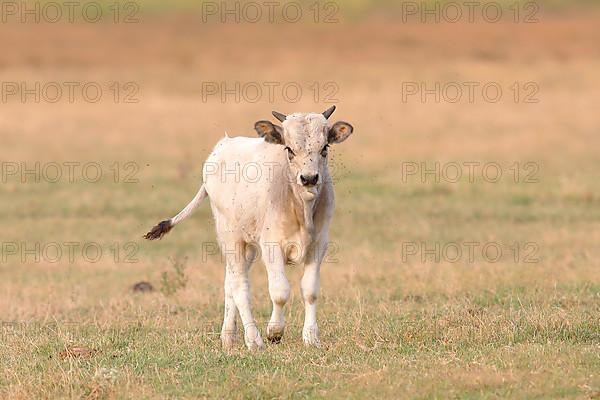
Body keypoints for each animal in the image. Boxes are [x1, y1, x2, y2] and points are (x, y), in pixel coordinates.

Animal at [144, 107, 354, 350]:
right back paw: (254, 340)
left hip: (247, 245)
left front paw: (311, 338)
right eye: (289, 149)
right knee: (239, 287)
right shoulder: (271, 245)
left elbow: (310, 291)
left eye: (325, 148)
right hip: (229, 237)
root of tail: (223, 145)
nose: (309, 178)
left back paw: (228, 336)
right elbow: (280, 291)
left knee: (230, 283)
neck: (301, 206)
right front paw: (274, 331)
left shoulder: (319, 244)